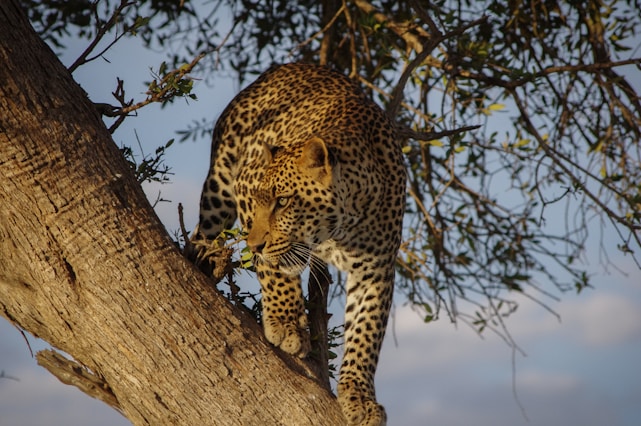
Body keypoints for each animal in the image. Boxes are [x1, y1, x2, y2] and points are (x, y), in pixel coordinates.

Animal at [193, 63, 406, 425]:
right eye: (261, 200)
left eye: (283, 202)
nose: (254, 245)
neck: (340, 227)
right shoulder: (244, 185)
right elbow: (274, 271)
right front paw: (286, 323)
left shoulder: (376, 269)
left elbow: (366, 333)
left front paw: (360, 398)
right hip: (219, 189)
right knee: (201, 232)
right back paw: (202, 259)